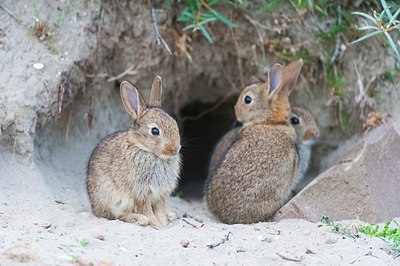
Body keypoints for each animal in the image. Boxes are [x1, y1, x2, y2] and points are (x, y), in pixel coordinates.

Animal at [88, 76, 183, 227]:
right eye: (155, 131)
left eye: (174, 123)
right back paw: (139, 219)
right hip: (112, 200)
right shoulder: (141, 192)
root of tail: (95, 208)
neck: (148, 151)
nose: (175, 149)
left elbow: (159, 208)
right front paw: (156, 222)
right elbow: (146, 209)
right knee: (118, 216)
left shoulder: (161, 194)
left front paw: (163, 221)